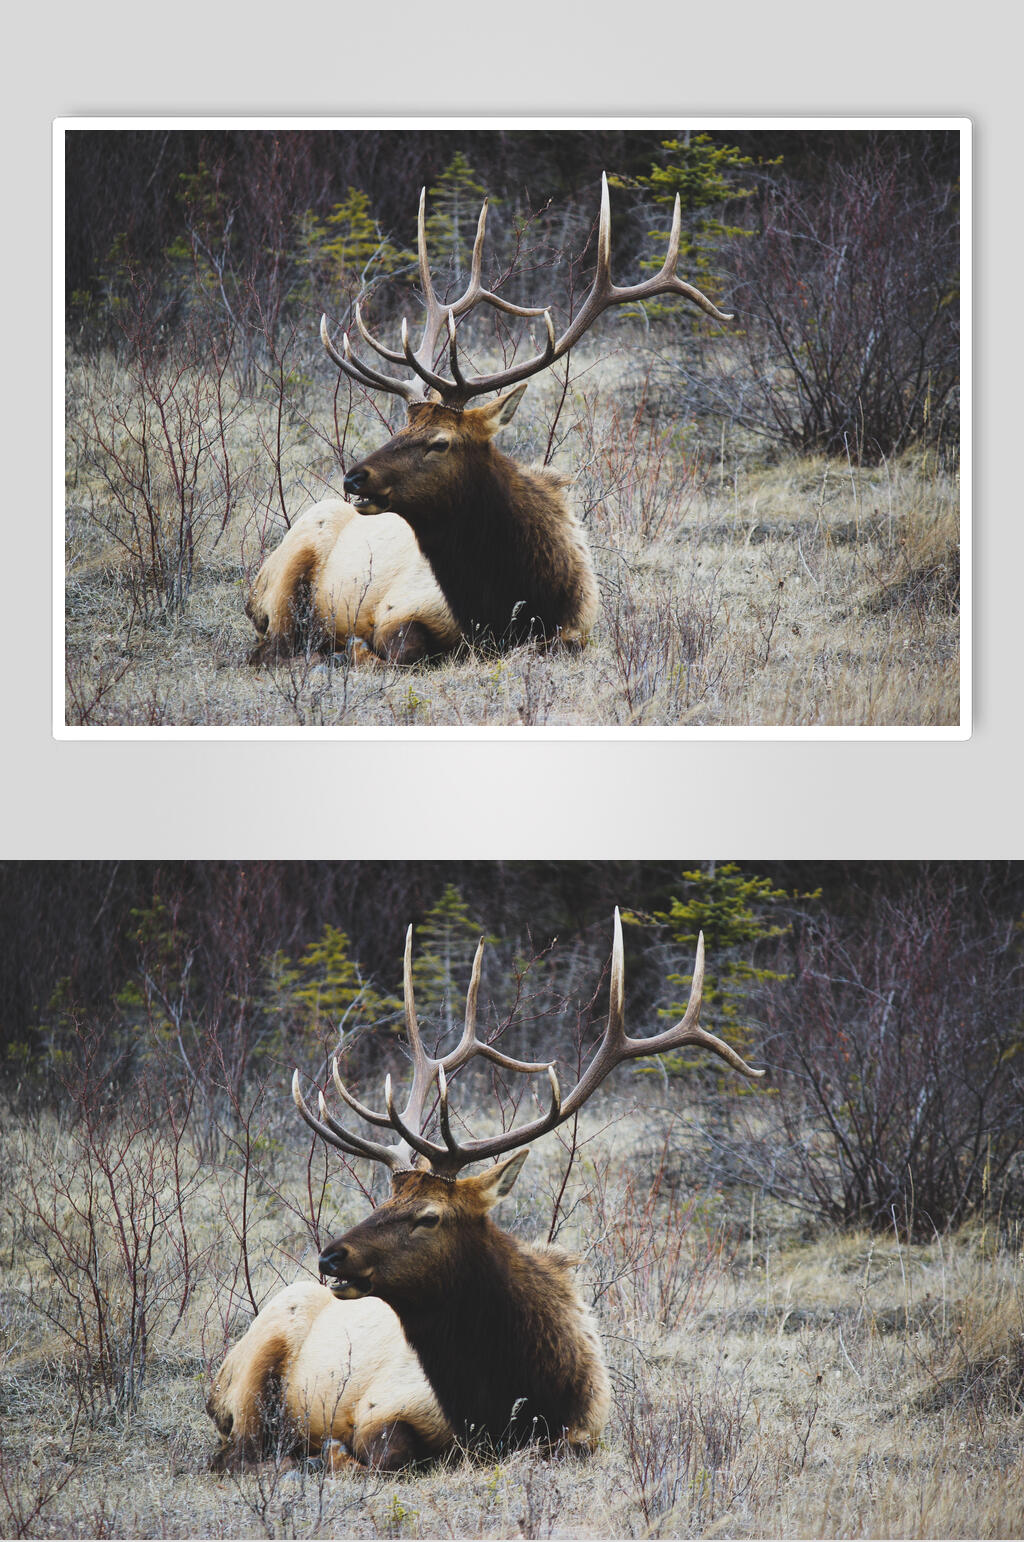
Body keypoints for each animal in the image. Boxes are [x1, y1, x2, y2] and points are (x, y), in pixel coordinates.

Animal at [207, 911, 763, 1472]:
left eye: (429, 1216)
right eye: (385, 1201)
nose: (331, 1257)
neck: (508, 1400)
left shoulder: (586, 1430)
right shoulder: (381, 1406)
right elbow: (382, 1451)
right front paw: (330, 1451)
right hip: (253, 1370)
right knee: (237, 1451)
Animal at [246, 175, 733, 662]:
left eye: (440, 442)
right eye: (402, 428)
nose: (354, 478)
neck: (509, 602)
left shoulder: (577, 629)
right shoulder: (397, 608)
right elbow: (396, 646)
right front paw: (355, 648)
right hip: (285, 576)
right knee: (273, 644)